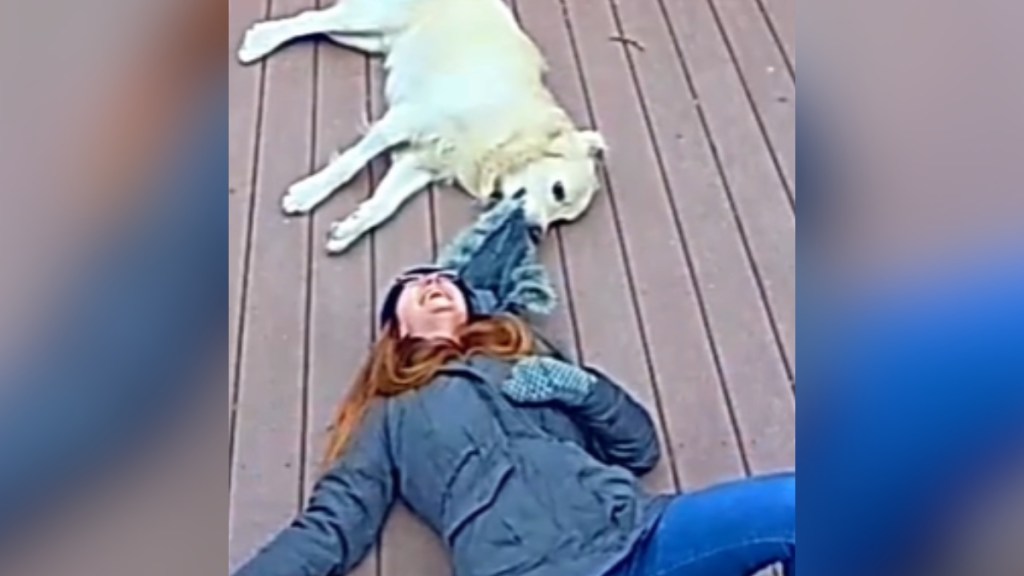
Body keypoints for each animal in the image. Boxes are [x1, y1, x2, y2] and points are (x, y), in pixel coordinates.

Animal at [237, 0, 606, 253]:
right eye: (558, 190)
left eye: (561, 221)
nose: (536, 233)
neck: (505, 133)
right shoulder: (408, 118)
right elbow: (350, 163)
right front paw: (309, 192)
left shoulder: (422, 161)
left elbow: (385, 205)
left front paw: (351, 228)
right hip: (373, 18)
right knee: (311, 20)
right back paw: (261, 41)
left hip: (368, 38)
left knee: (322, 27)